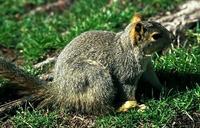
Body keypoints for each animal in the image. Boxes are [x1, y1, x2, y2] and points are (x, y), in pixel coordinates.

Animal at [0, 14, 174, 114]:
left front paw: (165, 89)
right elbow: (128, 91)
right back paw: (121, 108)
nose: (172, 38)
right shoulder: (127, 73)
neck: (130, 49)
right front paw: (137, 106)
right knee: (101, 109)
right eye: (156, 36)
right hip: (94, 76)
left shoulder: (147, 68)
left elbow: (154, 80)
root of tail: (60, 91)